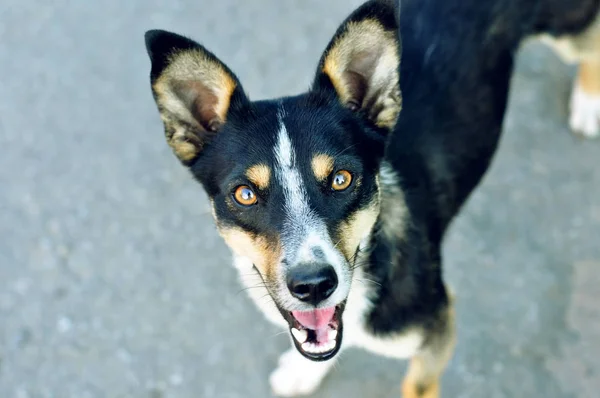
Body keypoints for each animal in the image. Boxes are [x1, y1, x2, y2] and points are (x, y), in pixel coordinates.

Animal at [144, 0, 600, 396]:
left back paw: (589, 101)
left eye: (342, 179)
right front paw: (303, 372)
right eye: (245, 194)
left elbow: (415, 385)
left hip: (567, 27)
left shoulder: (437, 329)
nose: (313, 286)